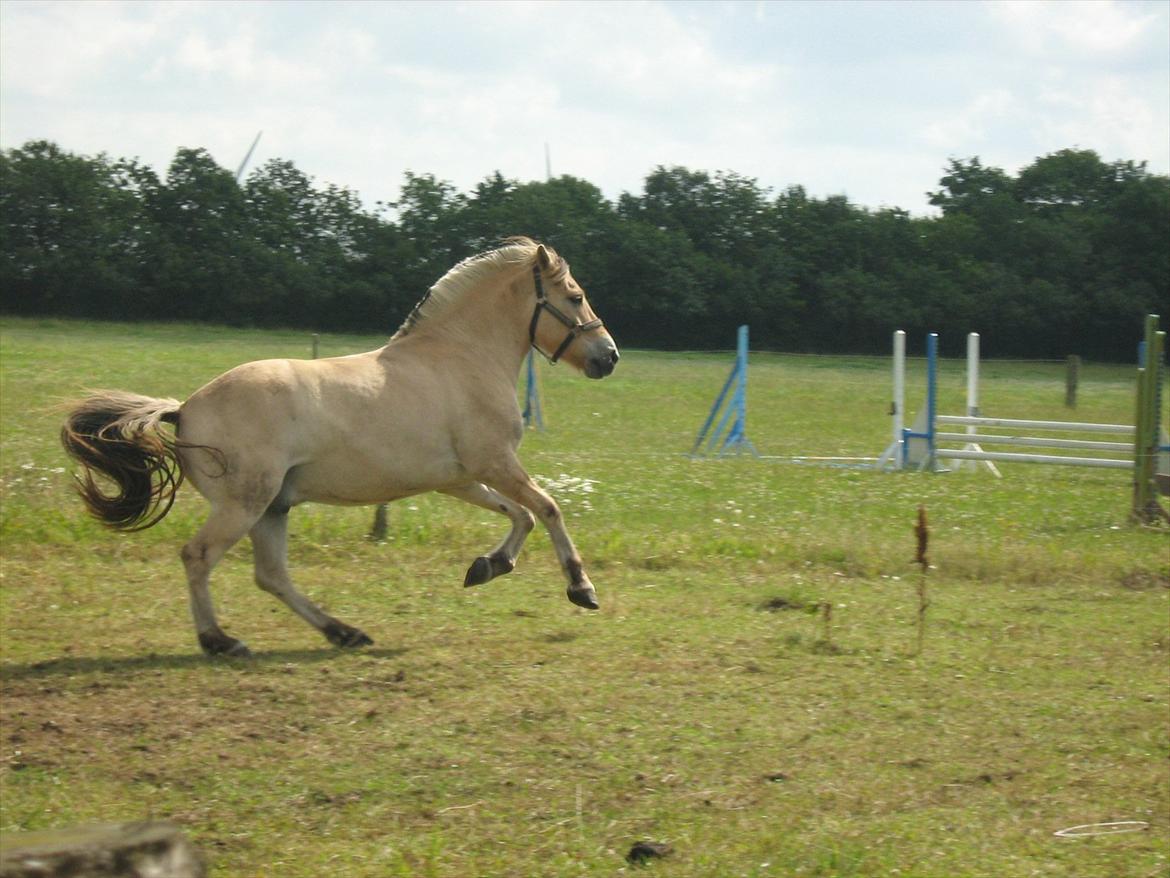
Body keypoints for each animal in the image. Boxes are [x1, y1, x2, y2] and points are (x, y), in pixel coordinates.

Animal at [61, 237, 622, 655]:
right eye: (575, 297)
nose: (610, 356)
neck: (462, 358)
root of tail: (185, 409)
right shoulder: (496, 463)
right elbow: (548, 509)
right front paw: (581, 589)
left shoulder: (461, 478)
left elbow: (519, 515)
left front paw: (487, 567)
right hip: (246, 504)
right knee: (199, 556)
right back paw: (220, 640)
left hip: (273, 507)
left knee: (271, 576)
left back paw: (343, 632)